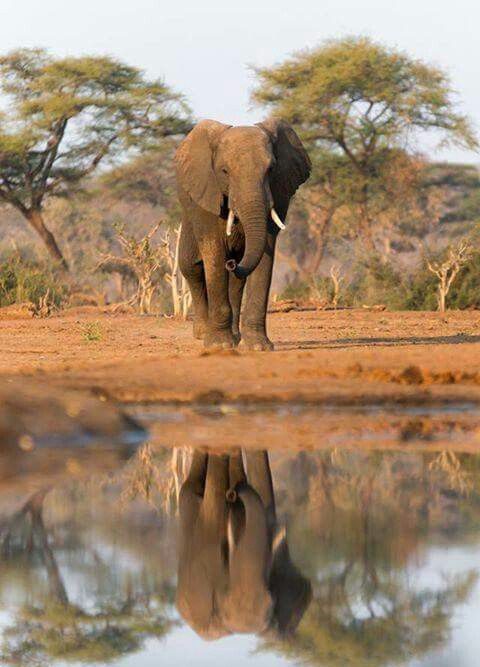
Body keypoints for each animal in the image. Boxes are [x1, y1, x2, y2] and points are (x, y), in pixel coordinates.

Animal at [175, 118, 311, 350]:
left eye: (271, 169)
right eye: (224, 171)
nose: (231, 263)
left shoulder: (279, 191)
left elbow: (265, 250)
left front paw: (258, 347)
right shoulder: (207, 192)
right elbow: (213, 252)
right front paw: (219, 346)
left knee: (237, 280)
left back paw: (236, 337)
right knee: (191, 266)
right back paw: (203, 334)